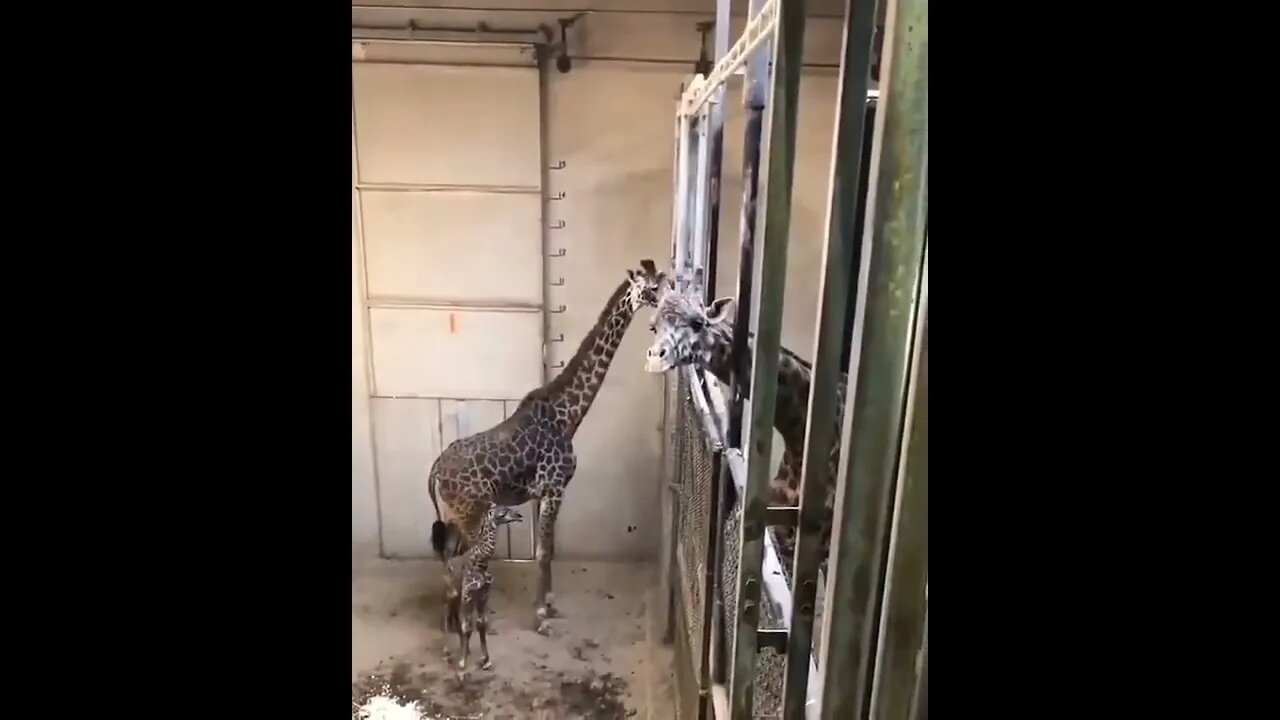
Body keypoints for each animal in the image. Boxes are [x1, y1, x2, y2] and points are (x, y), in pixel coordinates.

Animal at [440, 502, 519, 676]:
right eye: (503, 511)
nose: (519, 515)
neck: (481, 562)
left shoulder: (483, 595)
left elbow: (480, 625)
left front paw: (486, 661)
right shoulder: (468, 595)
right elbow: (468, 627)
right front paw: (462, 666)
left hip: (458, 597)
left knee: (456, 618)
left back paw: (465, 649)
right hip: (452, 594)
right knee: (448, 618)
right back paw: (447, 653)